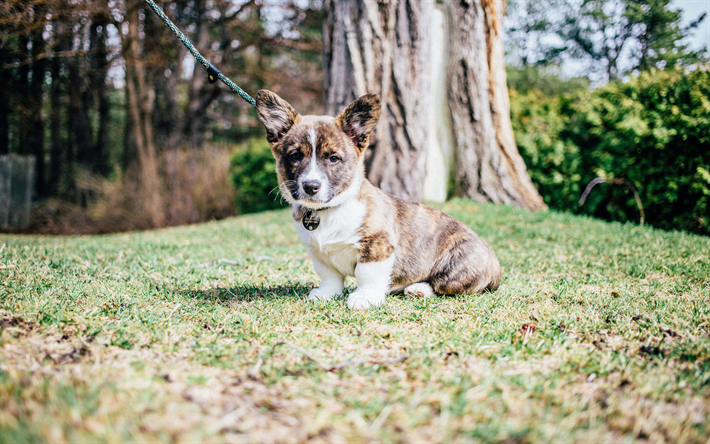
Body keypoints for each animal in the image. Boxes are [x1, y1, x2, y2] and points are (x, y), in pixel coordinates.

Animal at [254, 88, 500, 306]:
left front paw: (364, 298)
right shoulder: (318, 252)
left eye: (333, 158)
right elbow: (329, 275)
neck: (331, 210)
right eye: (295, 156)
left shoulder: (377, 245)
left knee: (445, 285)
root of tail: (494, 260)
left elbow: (367, 274)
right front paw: (326, 294)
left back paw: (419, 288)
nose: (311, 186)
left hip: (455, 266)